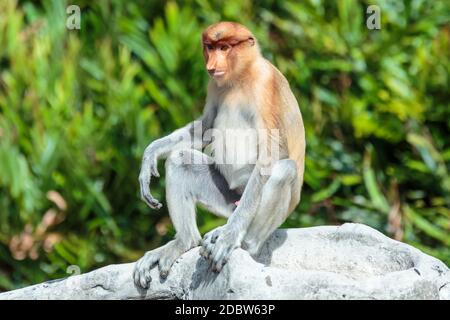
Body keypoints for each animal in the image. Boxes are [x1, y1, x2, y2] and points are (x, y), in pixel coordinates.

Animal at [132, 21, 304, 288]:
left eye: (224, 47)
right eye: (210, 48)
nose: (212, 65)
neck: (242, 76)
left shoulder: (266, 83)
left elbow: (273, 153)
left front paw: (228, 239)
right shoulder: (214, 84)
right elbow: (204, 128)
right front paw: (150, 155)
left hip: (248, 206)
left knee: (284, 169)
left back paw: (239, 240)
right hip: (226, 199)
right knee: (180, 160)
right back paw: (184, 242)